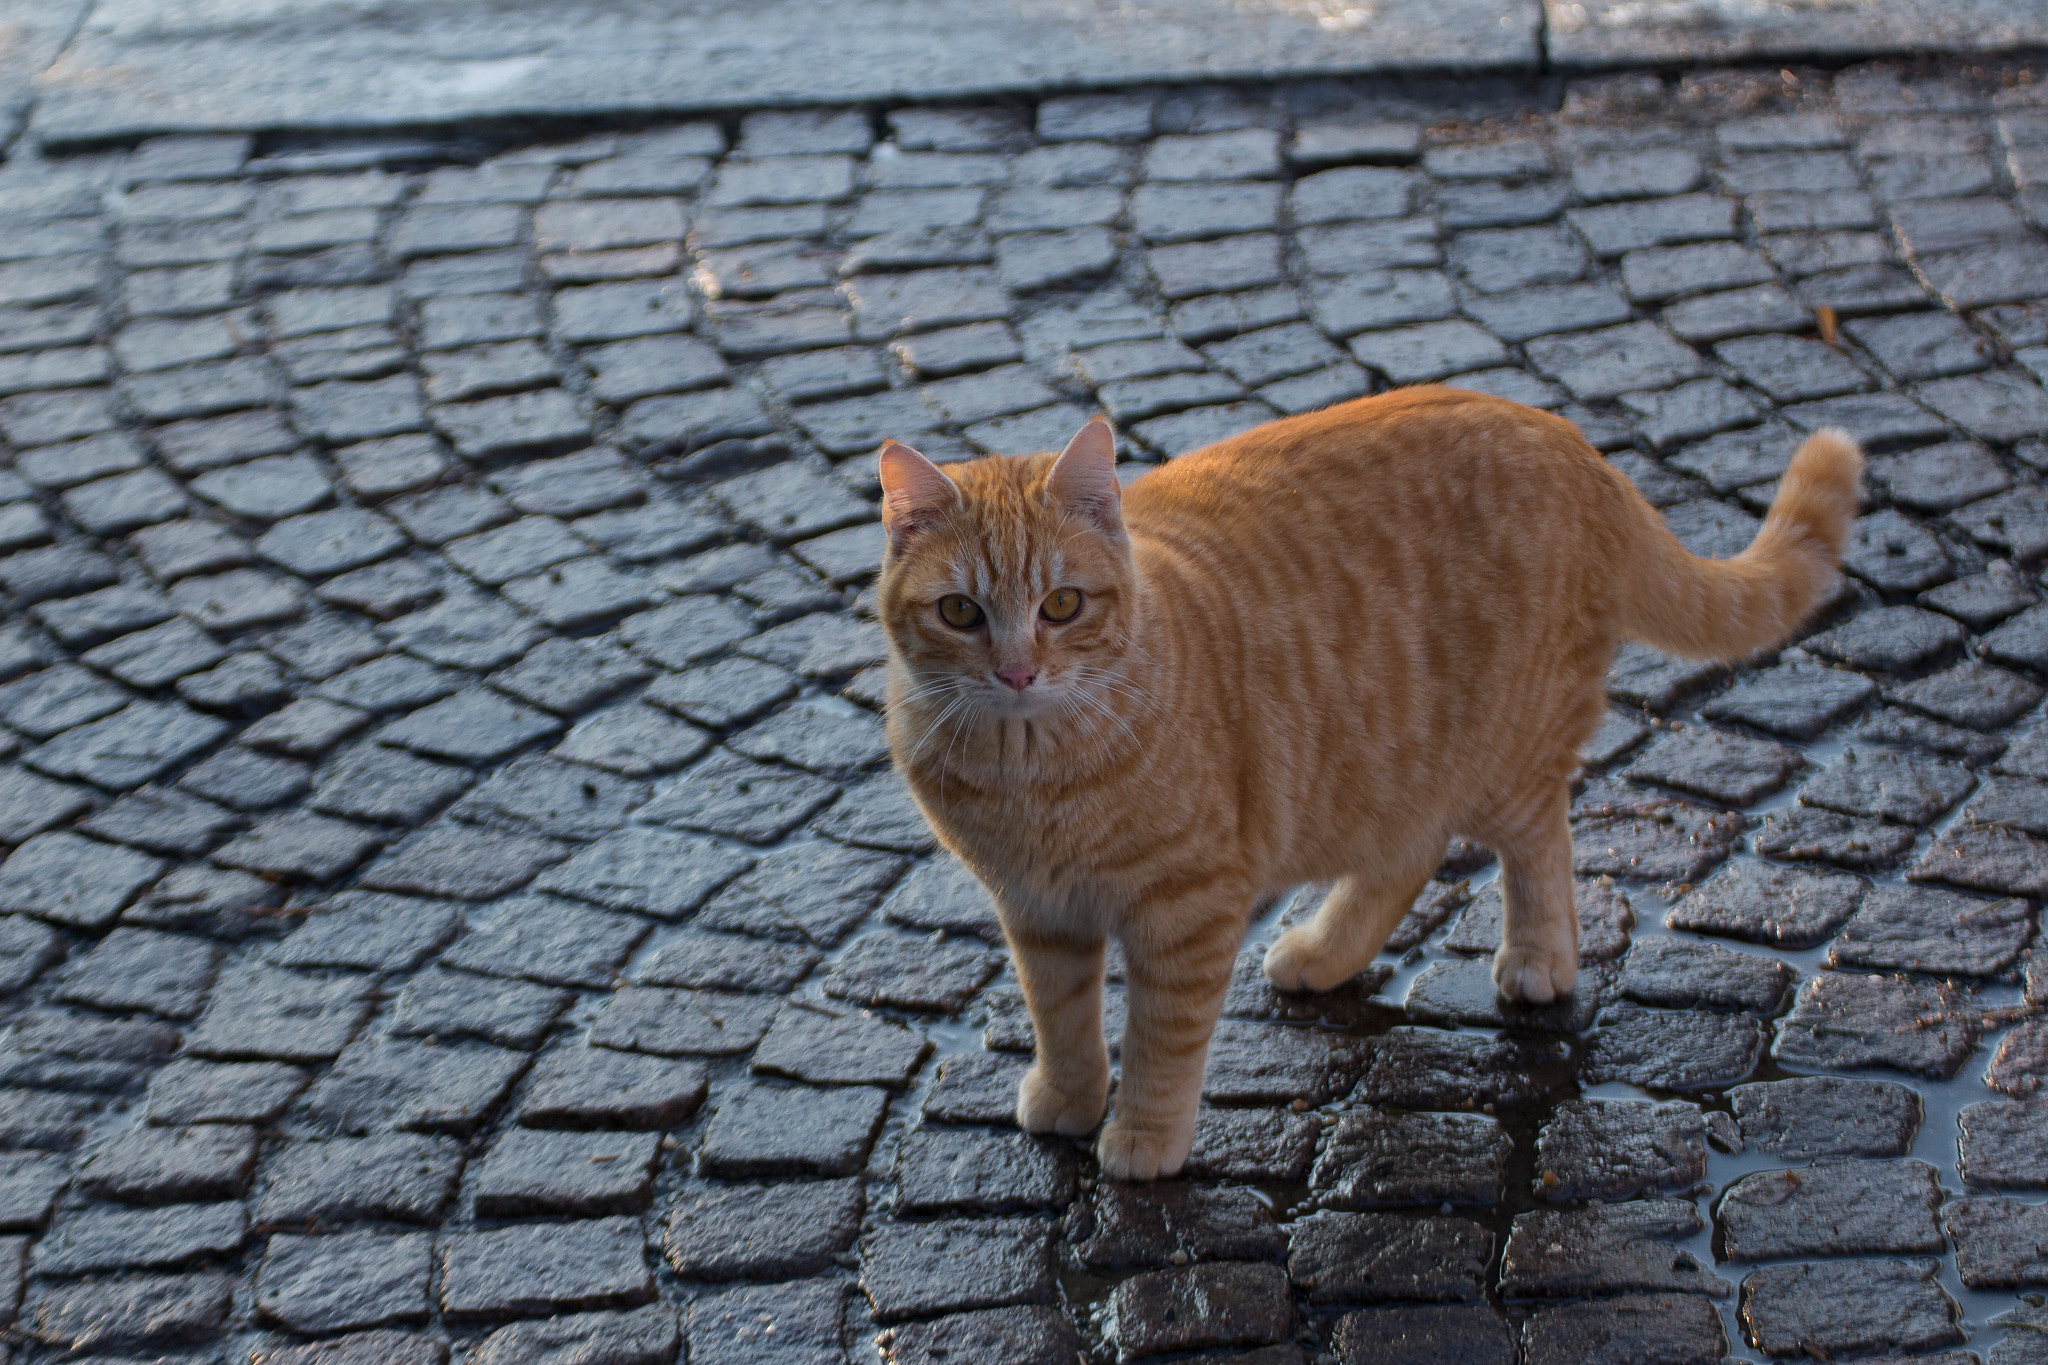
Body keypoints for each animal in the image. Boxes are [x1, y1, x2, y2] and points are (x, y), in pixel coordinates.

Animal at [872, 388, 1867, 1178]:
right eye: (961, 612)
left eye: (1062, 605)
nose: (1016, 671)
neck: (1031, 768)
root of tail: (1559, 433)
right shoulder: (1037, 911)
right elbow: (1063, 1016)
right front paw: (1072, 1095)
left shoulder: (1188, 908)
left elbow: (1163, 1035)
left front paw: (1144, 1134)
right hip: (1386, 771)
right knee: (1409, 854)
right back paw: (1325, 951)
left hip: (1502, 756)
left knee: (1539, 840)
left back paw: (1538, 956)